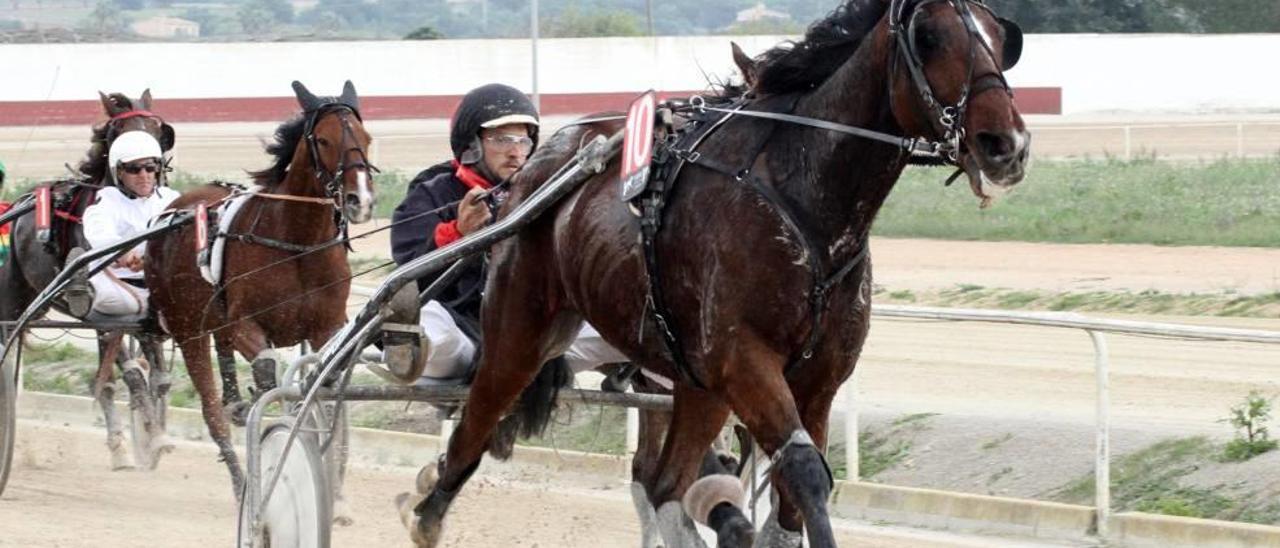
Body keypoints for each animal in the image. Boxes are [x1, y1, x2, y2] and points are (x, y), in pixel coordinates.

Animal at [146, 81, 373, 496]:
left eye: (366, 138)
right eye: (323, 139)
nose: (359, 200)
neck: (296, 242)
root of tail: (172, 212)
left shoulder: (326, 327)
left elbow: (326, 393)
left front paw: (335, 491)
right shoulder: (245, 327)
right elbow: (270, 378)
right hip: (188, 329)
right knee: (212, 411)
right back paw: (240, 482)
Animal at [409, 0, 1029, 545]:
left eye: (1001, 37)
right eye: (929, 37)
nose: (1007, 144)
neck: (803, 197)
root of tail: (535, 170)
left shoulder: (818, 377)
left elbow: (787, 499)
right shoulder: (742, 359)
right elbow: (805, 471)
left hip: (689, 379)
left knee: (663, 483)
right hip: (521, 328)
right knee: (476, 425)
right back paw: (426, 511)